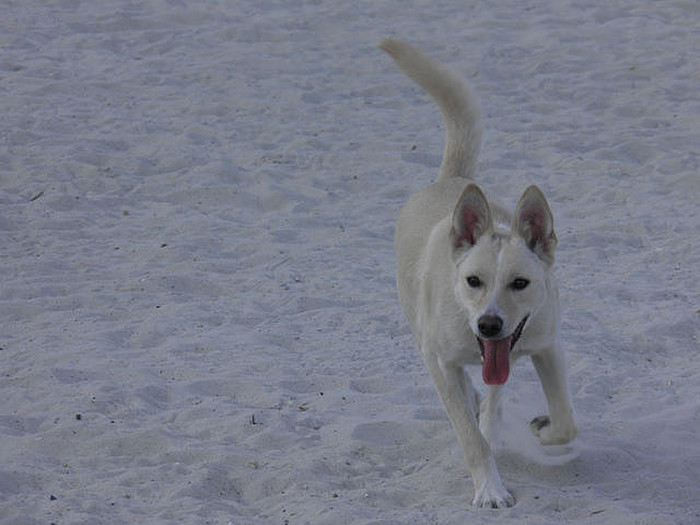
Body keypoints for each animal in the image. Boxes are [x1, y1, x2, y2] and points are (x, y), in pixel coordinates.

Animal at [380, 37, 576, 508]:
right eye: (473, 281)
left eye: (520, 283)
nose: (488, 325)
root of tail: (451, 180)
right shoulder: (442, 364)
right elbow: (471, 439)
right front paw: (490, 490)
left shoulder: (547, 345)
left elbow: (565, 420)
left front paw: (542, 429)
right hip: (421, 333)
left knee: (494, 394)